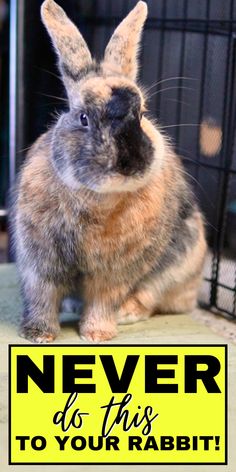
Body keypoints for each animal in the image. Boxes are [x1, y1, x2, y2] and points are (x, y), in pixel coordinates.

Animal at [13, 0, 206, 342]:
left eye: (141, 115)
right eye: (83, 118)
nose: (129, 163)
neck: (98, 200)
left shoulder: (114, 273)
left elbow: (104, 298)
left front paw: (96, 335)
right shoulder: (40, 260)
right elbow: (42, 295)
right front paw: (38, 335)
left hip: (183, 262)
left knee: (152, 297)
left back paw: (127, 314)